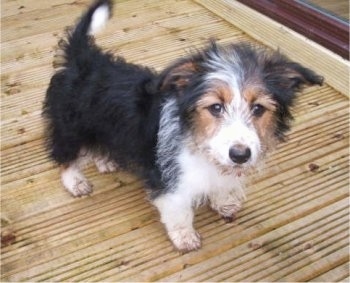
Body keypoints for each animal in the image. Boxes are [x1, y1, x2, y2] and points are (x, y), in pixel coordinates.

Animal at [43, 0, 322, 253]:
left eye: (258, 109)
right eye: (215, 107)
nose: (240, 155)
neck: (199, 142)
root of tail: (84, 59)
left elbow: (223, 186)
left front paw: (224, 203)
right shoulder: (172, 184)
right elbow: (180, 212)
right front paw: (185, 238)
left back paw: (105, 161)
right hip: (71, 127)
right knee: (65, 156)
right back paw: (75, 181)